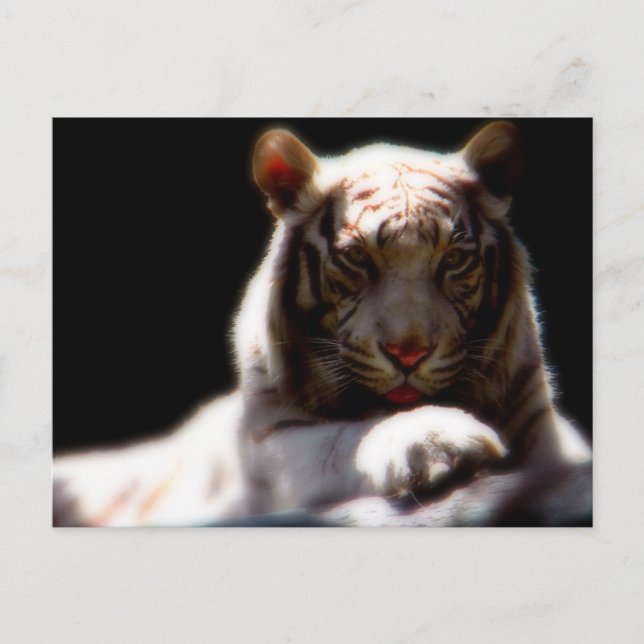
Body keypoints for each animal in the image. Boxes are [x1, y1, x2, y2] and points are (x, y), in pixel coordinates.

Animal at [53, 121, 591, 527]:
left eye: (454, 260)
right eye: (357, 258)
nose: (409, 354)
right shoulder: (268, 449)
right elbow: (338, 440)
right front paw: (435, 440)